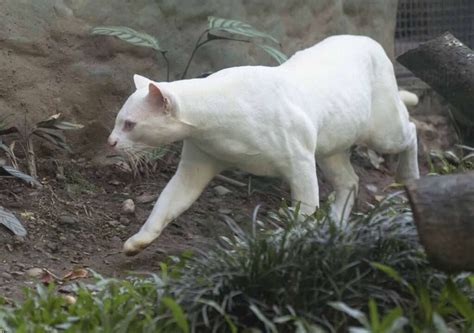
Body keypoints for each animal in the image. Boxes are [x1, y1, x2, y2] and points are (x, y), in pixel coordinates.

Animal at [106, 35, 418, 254]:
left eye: (129, 124)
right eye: (118, 120)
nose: (110, 141)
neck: (216, 124)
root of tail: (368, 40)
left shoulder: (300, 163)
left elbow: (306, 207)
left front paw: (293, 242)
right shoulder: (195, 166)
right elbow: (166, 204)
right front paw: (137, 242)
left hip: (383, 132)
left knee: (412, 129)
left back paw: (409, 177)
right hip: (332, 149)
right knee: (350, 181)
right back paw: (337, 225)